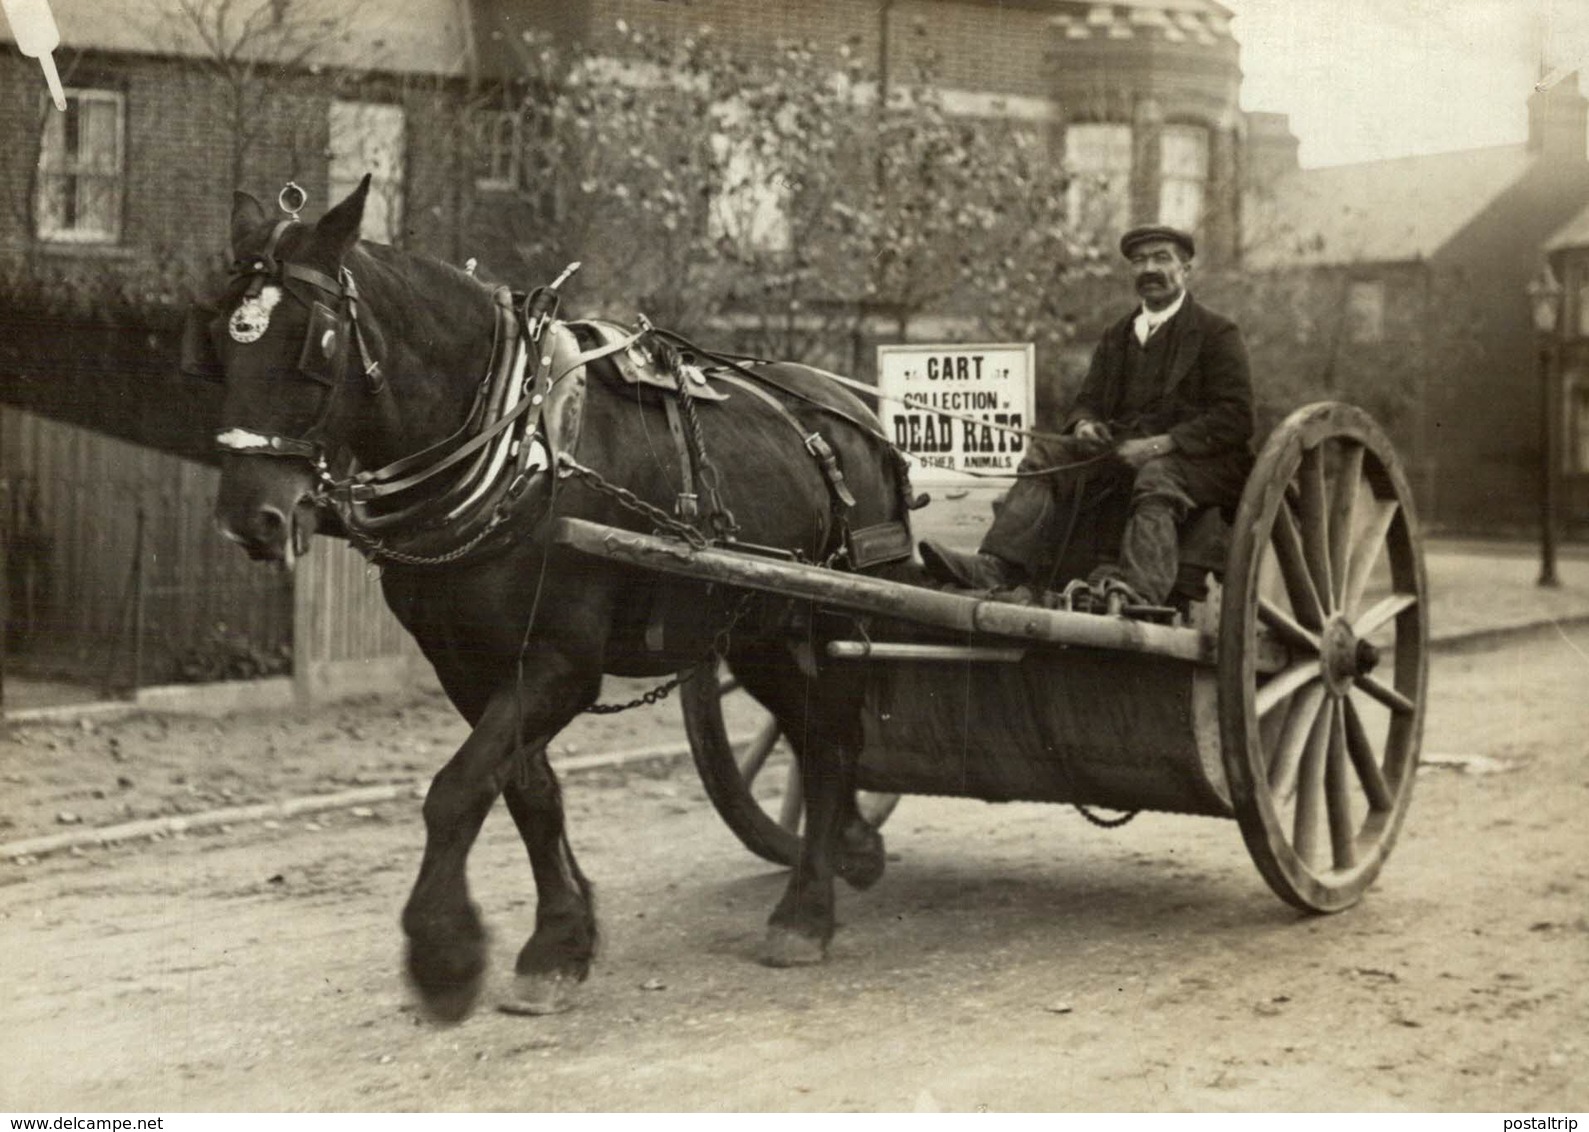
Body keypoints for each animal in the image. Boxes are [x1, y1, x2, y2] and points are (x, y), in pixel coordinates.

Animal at [200, 178, 921, 1023]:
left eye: (314, 343)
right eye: (219, 338)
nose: (249, 518)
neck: (520, 446)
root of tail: (859, 413)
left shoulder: (562, 665)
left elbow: (456, 790)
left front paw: (445, 955)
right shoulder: (465, 665)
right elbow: (525, 790)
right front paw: (561, 941)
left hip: (831, 614)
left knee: (834, 740)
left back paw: (806, 911)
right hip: (760, 631)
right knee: (813, 738)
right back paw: (850, 851)